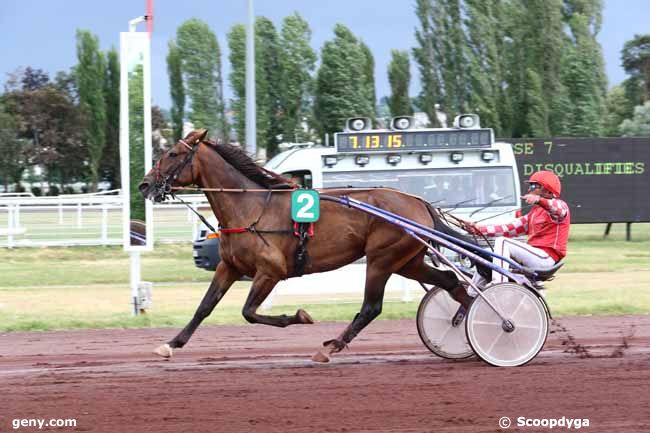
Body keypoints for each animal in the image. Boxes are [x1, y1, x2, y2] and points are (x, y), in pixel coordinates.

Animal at [139, 128, 468, 362]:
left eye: (172, 153)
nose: (144, 185)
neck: (249, 208)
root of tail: (420, 202)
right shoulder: (229, 266)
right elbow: (204, 306)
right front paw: (171, 344)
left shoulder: (271, 270)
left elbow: (249, 312)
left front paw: (299, 316)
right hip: (407, 261)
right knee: (450, 281)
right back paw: (464, 322)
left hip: (381, 259)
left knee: (371, 307)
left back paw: (331, 347)